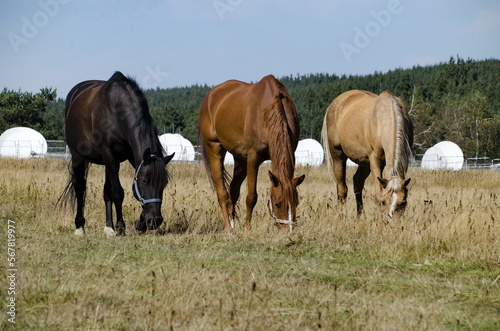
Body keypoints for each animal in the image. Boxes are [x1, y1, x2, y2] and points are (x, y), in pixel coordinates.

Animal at [61, 73, 175, 239]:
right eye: (144, 181)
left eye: (164, 183)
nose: (155, 220)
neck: (116, 112)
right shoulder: (109, 154)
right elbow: (118, 192)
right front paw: (121, 226)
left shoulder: (129, 157)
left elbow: (112, 191)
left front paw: (139, 224)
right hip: (78, 157)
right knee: (80, 187)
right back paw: (80, 226)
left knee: (106, 191)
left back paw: (109, 227)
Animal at [199, 74, 304, 233]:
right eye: (277, 203)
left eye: (296, 202)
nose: (289, 230)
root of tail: (210, 96)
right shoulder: (253, 158)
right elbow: (251, 196)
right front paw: (246, 227)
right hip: (215, 147)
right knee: (222, 192)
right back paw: (229, 228)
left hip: (240, 159)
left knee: (233, 190)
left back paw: (232, 223)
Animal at [322, 90, 412, 218]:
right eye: (383, 202)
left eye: (403, 203)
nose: (390, 219)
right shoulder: (375, 159)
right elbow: (378, 192)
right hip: (337, 155)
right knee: (342, 189)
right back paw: (342, 217)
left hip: (364, 163)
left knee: (357, 183)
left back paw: (360, 216)